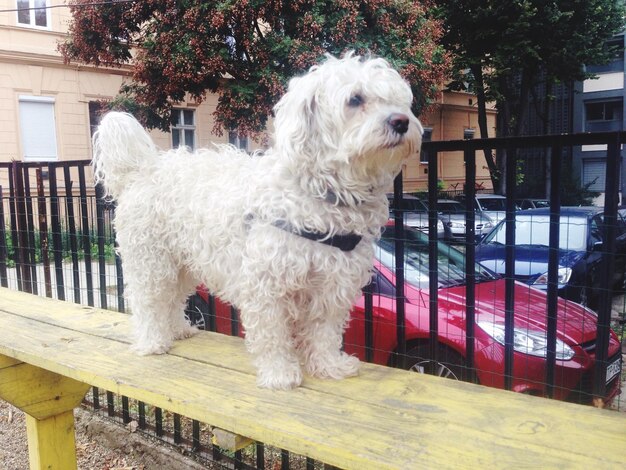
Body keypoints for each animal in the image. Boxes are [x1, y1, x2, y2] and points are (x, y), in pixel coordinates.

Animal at [92, 52, 422, 390]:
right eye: (355, 99)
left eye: (398, 100)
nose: (401, 121)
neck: (319, 194)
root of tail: (143, 169)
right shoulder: (267, 283)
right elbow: (273, 333)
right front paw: (280, 373)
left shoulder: (333, 282)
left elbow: (324, 331)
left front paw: (329, 366)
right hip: (150, 258)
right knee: (147, 299)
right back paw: (152, 341)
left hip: (182, 261)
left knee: (173, 297)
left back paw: (178, 329)